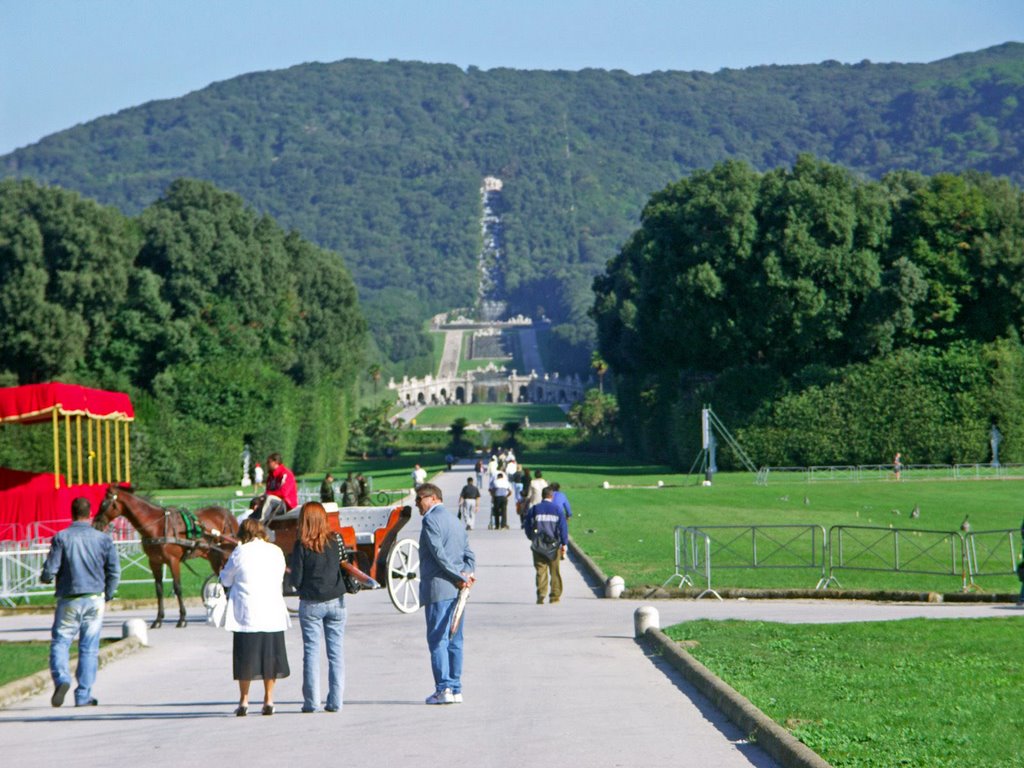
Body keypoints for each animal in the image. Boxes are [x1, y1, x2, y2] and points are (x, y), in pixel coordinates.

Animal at [93, 487, 238, 630]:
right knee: (225, 584)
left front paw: (182, 619)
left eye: (104, 504)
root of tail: (228, 514)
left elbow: (177, 587)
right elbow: (159, 589)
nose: (95, 524)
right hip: (215, 558)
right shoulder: (154, 562)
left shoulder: (173, 561)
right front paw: (158, 620)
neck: (157, 526)